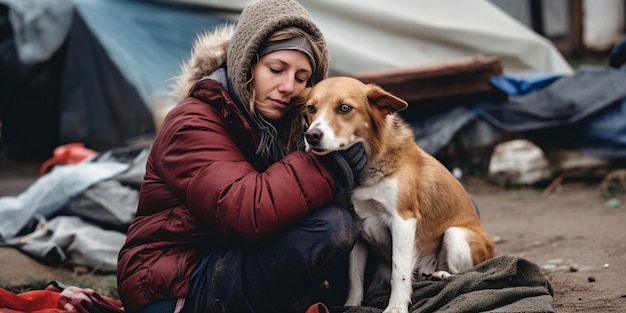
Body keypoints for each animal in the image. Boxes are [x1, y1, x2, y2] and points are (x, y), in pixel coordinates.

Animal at [294, 76, 494, 312]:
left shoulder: (402, 220)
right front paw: (352, 304)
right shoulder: (356, 224)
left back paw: (442, 274)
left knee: (468, 272)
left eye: (344, 108)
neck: (369, 167)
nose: (311, 136)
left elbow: (399, 272)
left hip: (456, 235)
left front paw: (396, 307)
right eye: (311, 108)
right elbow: (355, 275)